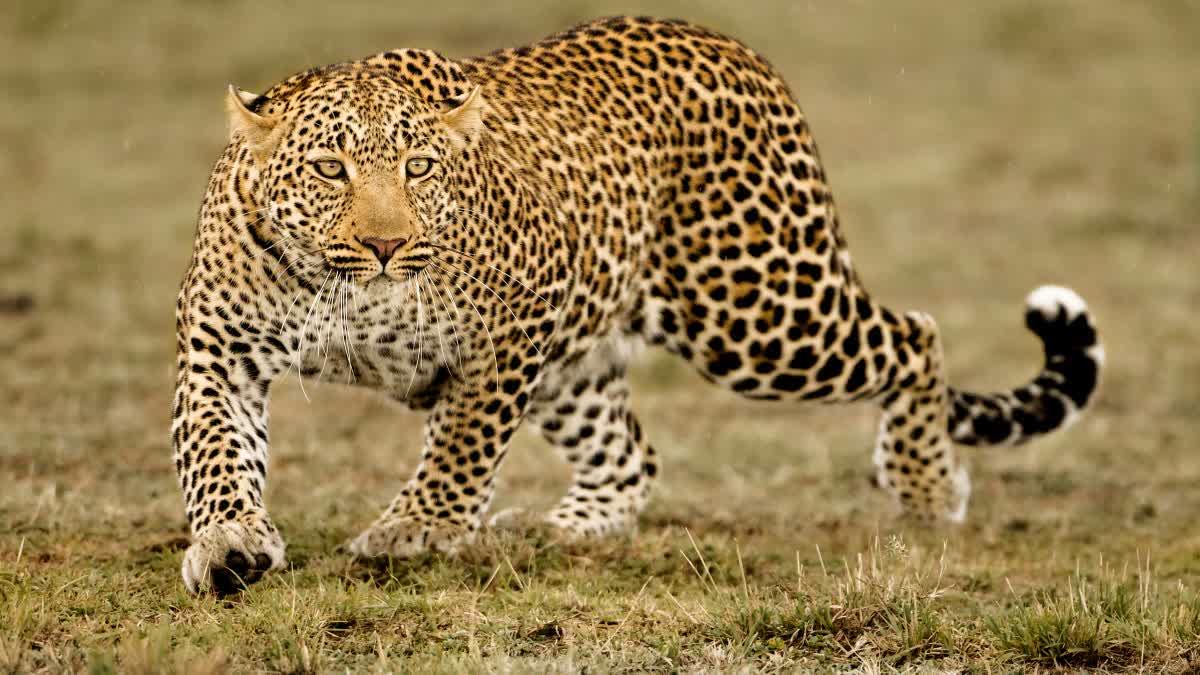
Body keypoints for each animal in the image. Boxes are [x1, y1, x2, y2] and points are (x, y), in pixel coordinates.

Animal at [173, 16, 1104, 594]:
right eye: (330, 169)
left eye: (419, 168)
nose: (385, 246)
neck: (350, 295)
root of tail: (733, 46)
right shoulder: (218, 347)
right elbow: (216, 454)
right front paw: (229, 545)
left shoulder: (511, 329)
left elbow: (461, 447)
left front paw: (415, 531)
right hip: (586, 360)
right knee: (630, 455)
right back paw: (563, 527)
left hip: (758, 309)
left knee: (915, 335)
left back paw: (925, 486)